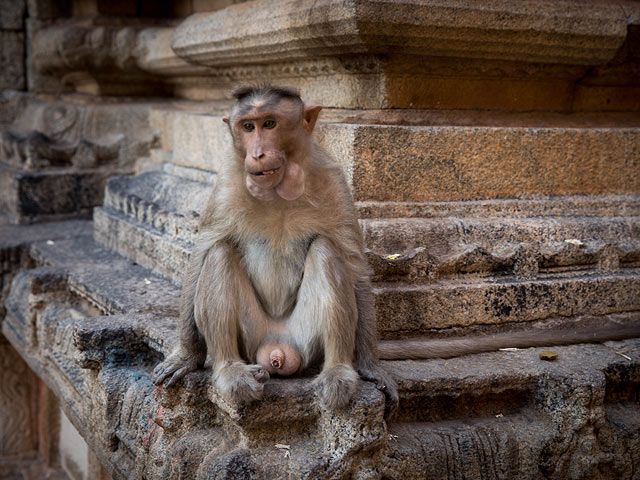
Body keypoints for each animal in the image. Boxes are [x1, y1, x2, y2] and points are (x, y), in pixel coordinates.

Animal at [152, 83, 398, 412]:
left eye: (269, 124)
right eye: (247, 127)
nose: (258, 153)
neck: (279, 190)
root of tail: (276, 348)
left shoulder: (333, 180)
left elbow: (352, 261)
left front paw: (371, 366)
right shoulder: (226, 186)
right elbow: (203, 252)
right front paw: (187, 355)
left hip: (304, 339)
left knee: (326, 250)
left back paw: (337, 372)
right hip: (252, 336)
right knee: (219, 253)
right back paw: (231, 371)